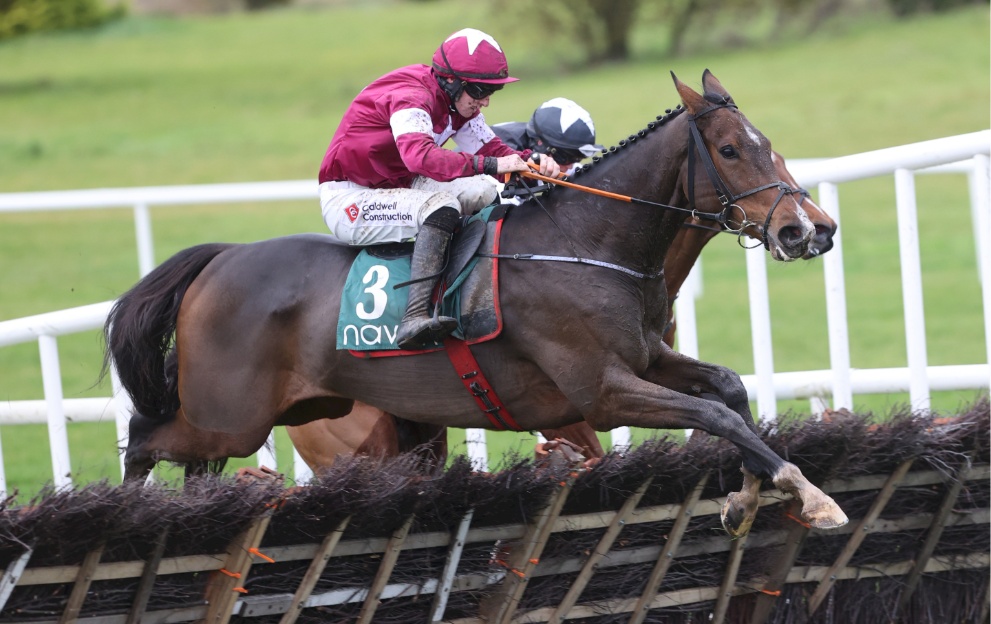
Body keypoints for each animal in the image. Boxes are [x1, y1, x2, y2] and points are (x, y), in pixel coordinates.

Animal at [106, 72, 852, 536]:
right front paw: (811, 495)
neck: (585, 240)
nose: (808, 229)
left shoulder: (645, 360)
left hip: (297, 414)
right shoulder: (600, 393)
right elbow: (714, 415)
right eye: (729, 150)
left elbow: (728, 392)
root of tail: (220, 259)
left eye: (767, 145)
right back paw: (124, 512)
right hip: (234, 417)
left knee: (188, 463)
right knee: (144, 437)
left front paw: (748, 496)